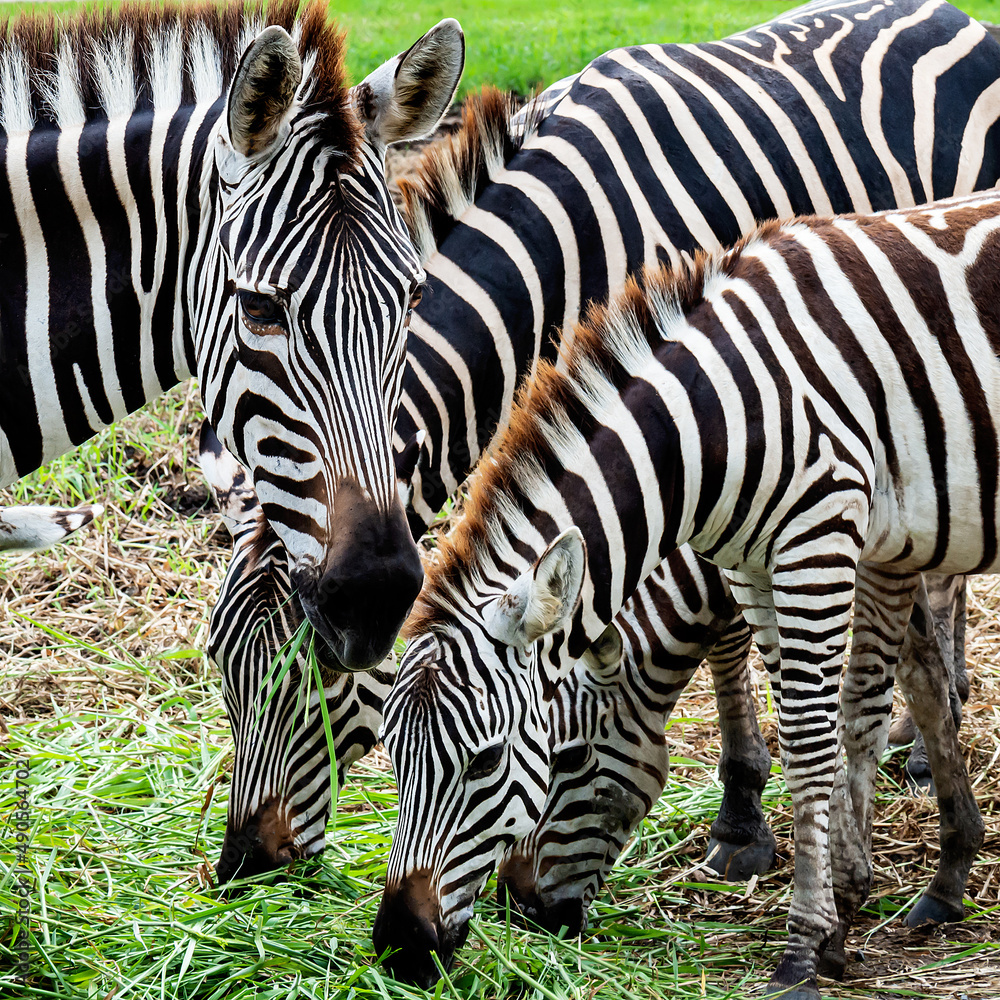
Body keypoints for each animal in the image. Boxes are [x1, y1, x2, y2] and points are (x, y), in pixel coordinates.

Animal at [208, 0, 1000, 883]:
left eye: (323, 669)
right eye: (219, 666)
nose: (246, 859)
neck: (555, 261)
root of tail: (943, 13)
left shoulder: (711, 411)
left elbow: (721, 623)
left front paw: (741, 812)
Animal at [373, 189, 1000, 999]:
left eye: (490, 763)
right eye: (390, 756)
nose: (400, 946)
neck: (714, 424)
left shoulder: (821, 537)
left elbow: (814, 738)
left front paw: (803, 951)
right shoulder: (761, 564)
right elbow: (843, 708)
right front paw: (844, 914)